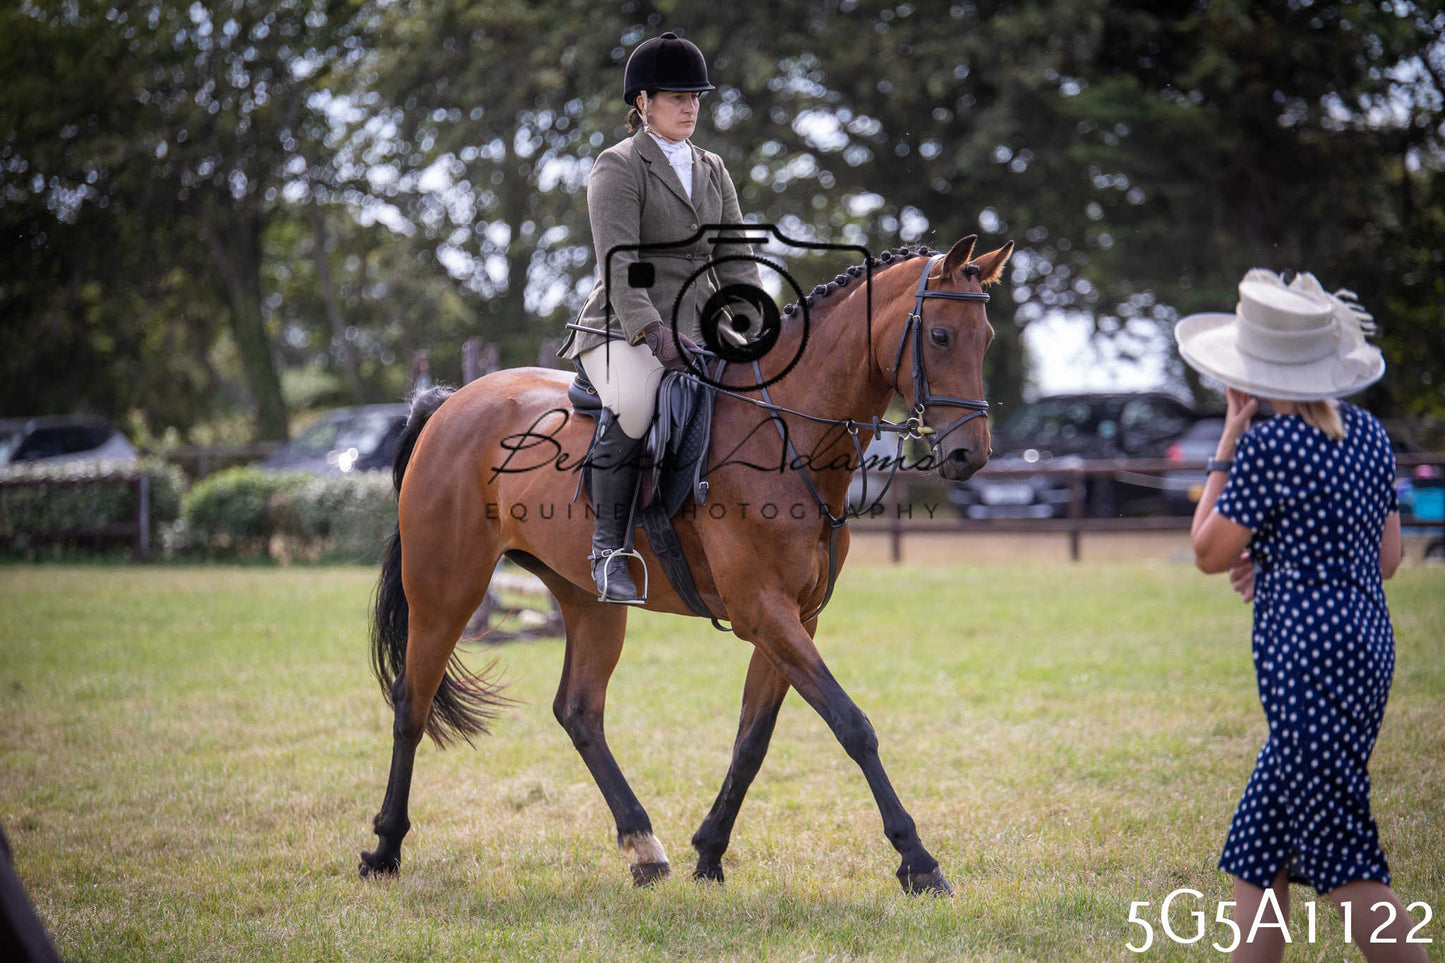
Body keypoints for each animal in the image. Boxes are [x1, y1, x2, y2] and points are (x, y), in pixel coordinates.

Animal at [359, 234, 1013, 894]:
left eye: (985, 337)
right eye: (940, 336)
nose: (970, 454)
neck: (784, 431)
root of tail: (451, 404)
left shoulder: (795, 619)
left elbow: (752, 741)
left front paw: (710, 852)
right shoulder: (764, 612)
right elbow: (852, 725)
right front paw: (919, 861)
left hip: (587, 600)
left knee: (579, 712)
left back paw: (644, 848)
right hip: (446, 590)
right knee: (411, 703)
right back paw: (385, 847)